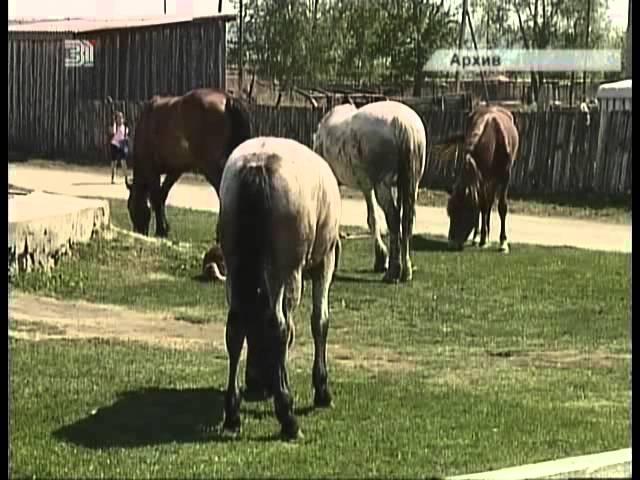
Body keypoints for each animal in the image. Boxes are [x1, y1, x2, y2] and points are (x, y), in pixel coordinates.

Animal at [125, 89, 252, 237]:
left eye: (130, 206)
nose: (138, 231)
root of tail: (227, 99)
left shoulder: (152, 170)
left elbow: (156, 197)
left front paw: (160, 230)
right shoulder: (175, 170)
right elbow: (162, 195)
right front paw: (164, 229)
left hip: (211, 167)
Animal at [444, 106, 520, 253]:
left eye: (463, 211)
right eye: (450, 211)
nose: (451, 243)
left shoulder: (504, 177)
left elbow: (502, 207)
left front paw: (503, 242)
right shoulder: (481, 177)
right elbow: (482, 206)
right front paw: (483, 239)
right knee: (485, 204)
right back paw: (477, 237)